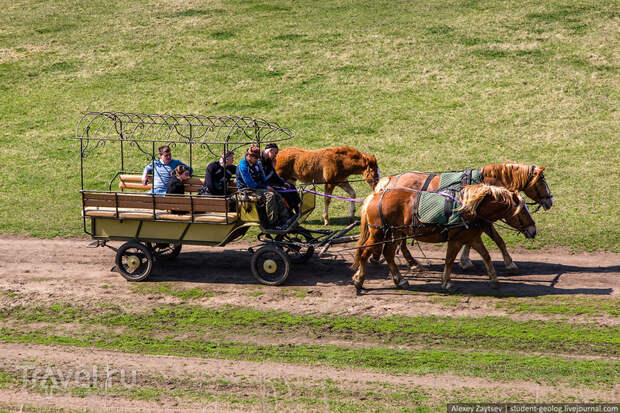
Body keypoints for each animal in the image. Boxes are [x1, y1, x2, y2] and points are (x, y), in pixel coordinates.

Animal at [354, 183, 536, 290]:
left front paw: (494, 278)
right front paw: (447, 282)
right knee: (364, 252)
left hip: (394, 233)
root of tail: (374, 196)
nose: (534, 230)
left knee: (388, 254)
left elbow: (486, 256)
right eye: (522, 211)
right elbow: (449, 260)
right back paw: (359, 280)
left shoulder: (472, 238)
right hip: (378, 234)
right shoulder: (456, 240)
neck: (469, 209)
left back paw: (400, 280)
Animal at [372, 163, 552, 272]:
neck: (485, 183)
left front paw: (465, 260)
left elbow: (472, 240)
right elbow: (497, 240)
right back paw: (412, 263)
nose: (550, 201)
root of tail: (390, 180)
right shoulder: (483, 219)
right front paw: (510, 263)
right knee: (401, 243)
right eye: (541, 181)